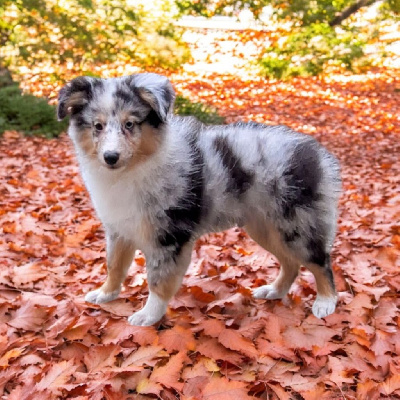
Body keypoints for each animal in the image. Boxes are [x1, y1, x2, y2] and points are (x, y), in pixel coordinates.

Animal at [57, 73, 340, 326]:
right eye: (98, 126)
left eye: (130, 124)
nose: (110, 157)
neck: (133, 169)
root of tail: (319, 154)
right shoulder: (119, 229)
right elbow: (114, 265)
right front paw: (106, 294)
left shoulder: (169, 236)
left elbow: (158, 280)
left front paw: (148, 316)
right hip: (265, 227)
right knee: (291, 263)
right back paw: (274, 291)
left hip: (297, 224)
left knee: (320, 261)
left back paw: (326, 302)